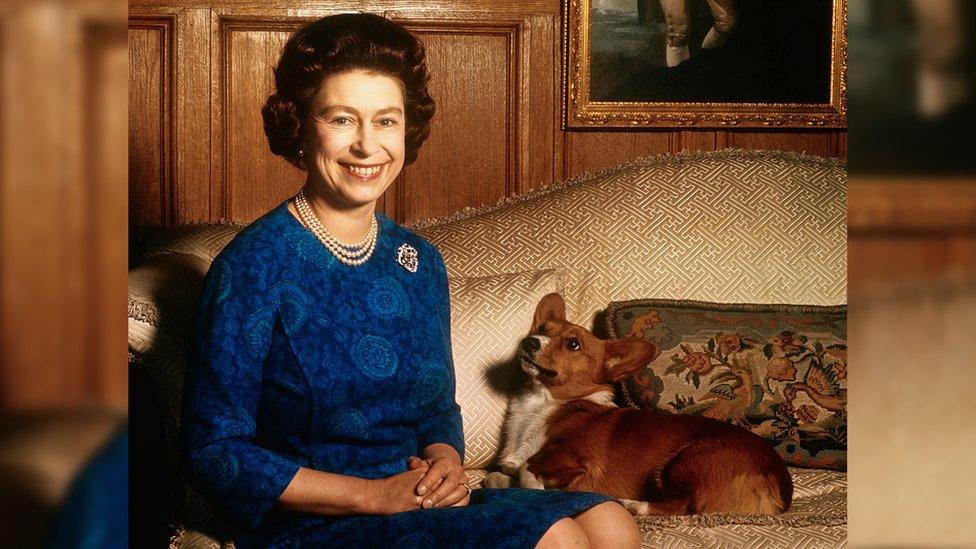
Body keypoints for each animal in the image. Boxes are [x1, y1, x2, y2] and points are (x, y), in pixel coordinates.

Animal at [496, 292, 792, 512]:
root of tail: (779, 483)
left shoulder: (574, 459)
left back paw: (632, 505)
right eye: (542, 329)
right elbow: (499, 474)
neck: (542, 402)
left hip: (684, 460)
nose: (529, 342)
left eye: (573, 344)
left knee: (684, 506)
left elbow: (527, 467)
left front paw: (536, 488)